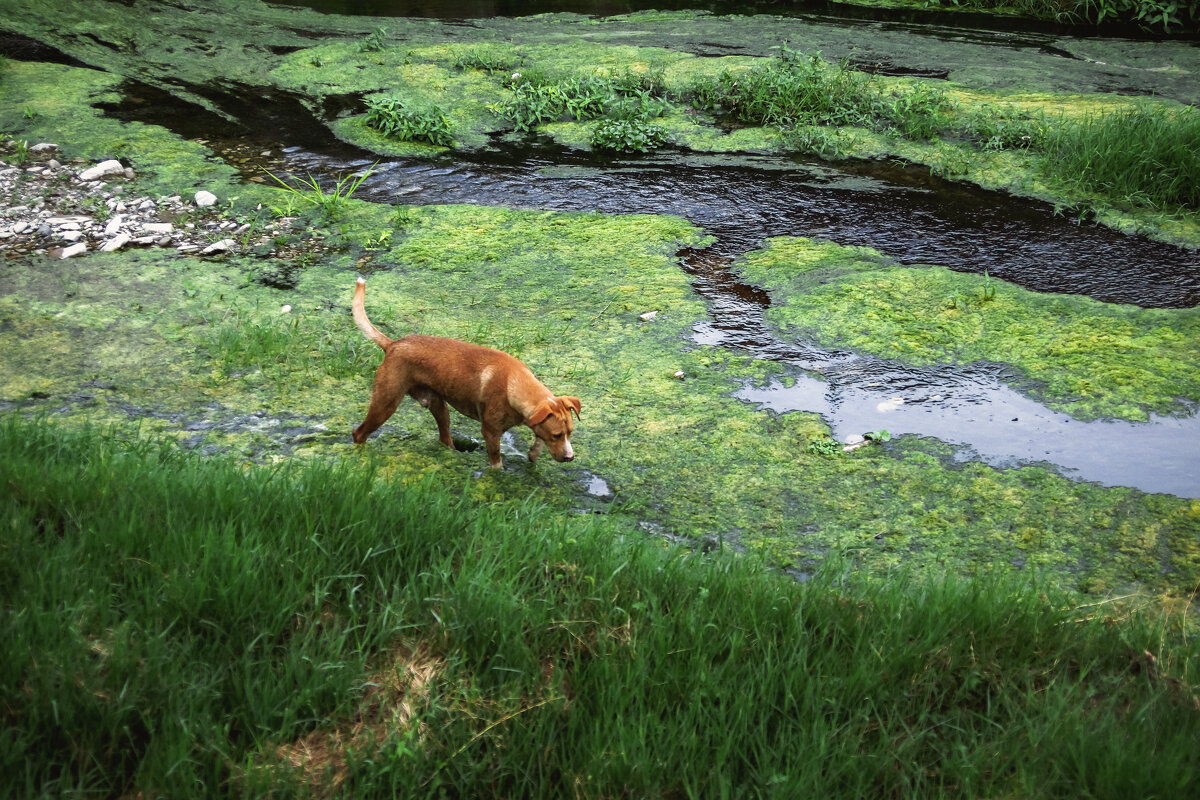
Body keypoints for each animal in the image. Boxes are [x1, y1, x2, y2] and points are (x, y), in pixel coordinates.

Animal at [350, 280, 578, 472]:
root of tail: (392, 344)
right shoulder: (491, 433)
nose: (570, 457)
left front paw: (533, 453)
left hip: (440, 407)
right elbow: (496, 462)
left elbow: (537, 437)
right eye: (557, 435)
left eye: (570, 433)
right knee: (359, 433)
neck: (514, 383)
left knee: (445, 438)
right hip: (385, 404)